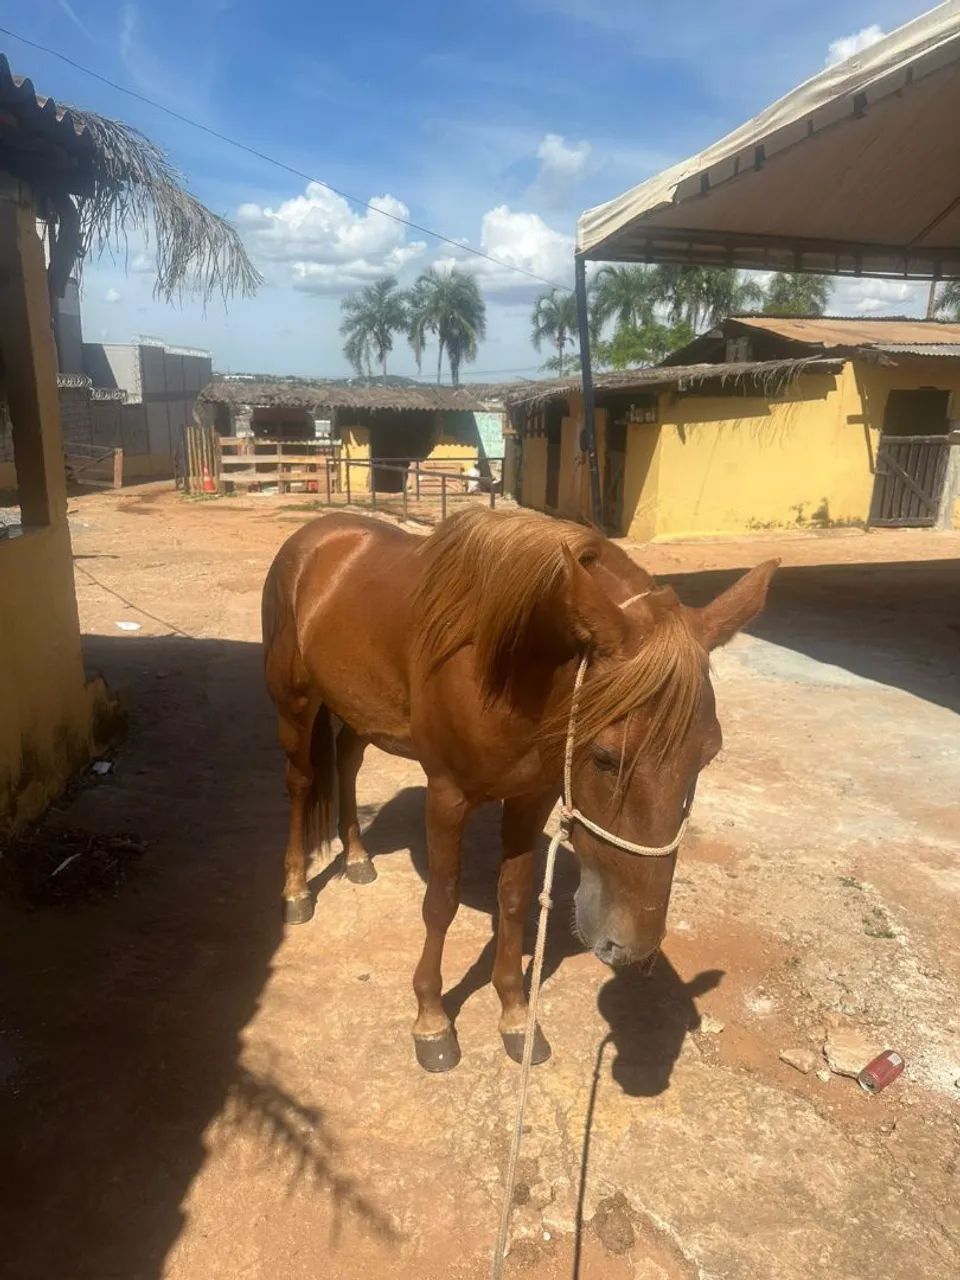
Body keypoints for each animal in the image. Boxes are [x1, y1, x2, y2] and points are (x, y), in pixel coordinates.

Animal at [262, 506, 777, 1072]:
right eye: (604, 757)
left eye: (709, 754)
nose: (634, 946)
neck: (499, 671)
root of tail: (316, 535)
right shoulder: (447, 797)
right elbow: (440, 903)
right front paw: (432, 1020)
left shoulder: (532, 798)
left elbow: (514, 898)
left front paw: (514, 1014)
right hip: (296, 706)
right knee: (300, 783)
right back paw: (296, 890)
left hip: (358, 708)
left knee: (347, 765)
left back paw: (356, 857)